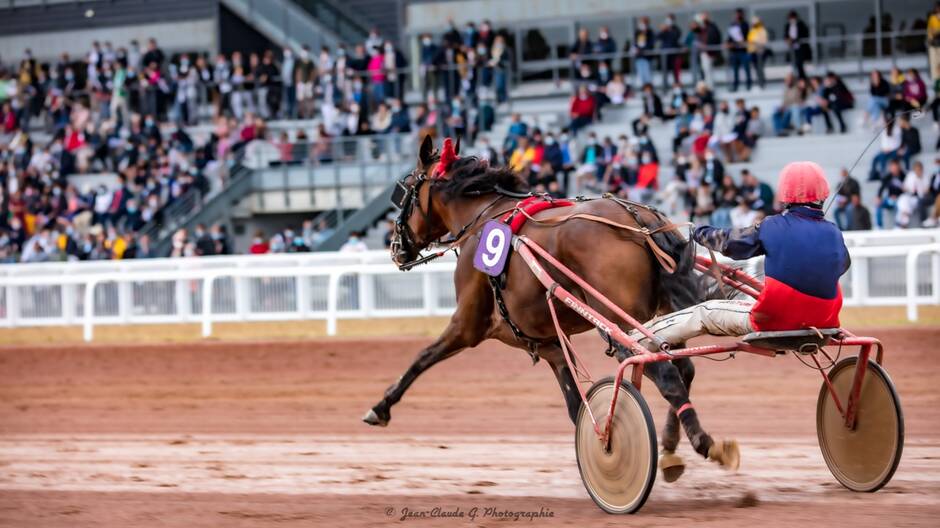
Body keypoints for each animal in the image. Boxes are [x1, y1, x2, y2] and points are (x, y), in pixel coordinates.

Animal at [364, 137, 740, 478]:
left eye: (405, 192)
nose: (396, 247)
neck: (484, 218)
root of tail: (639, 222)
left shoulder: (468, 324)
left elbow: (421, 358)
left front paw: (380, 407)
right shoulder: (548, 343)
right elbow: (576, 405)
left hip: (619, 321)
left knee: (666, 373)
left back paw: (702, 441)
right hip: (661, 314)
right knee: (683, 367)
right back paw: (671, 447)